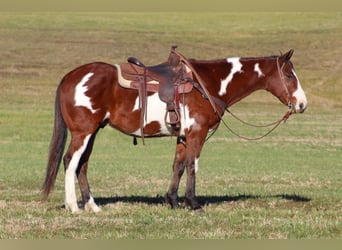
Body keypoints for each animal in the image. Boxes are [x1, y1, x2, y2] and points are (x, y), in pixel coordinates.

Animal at [42, 46, 308, 212]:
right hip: (83, 132)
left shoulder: (182, 136)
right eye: (289, 75)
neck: (207, 83)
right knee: (70, 161)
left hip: (93, 132)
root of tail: (70, 77)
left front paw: (172, 201)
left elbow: (178, 166)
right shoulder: (197, 134)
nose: (302, 104)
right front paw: (193, 203)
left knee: (82, 165)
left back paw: (92, 206)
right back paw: (74, 207)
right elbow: (192, 165)